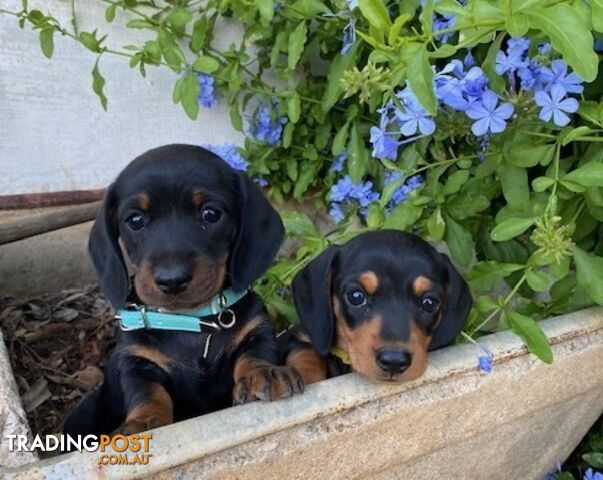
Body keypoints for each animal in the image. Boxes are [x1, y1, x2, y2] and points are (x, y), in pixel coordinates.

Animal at [63, 144, 304, 436]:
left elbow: (254, 354)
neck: (191, 322)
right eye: (135, 220)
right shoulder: (137, 362)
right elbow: (147, 393)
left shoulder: (257, 330)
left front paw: (261, 373)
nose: (172, 279)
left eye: (211, 214)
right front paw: (143, 422)